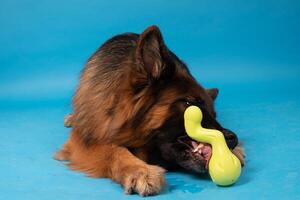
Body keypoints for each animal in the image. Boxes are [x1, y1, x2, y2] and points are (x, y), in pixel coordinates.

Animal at [54, 25, 244, 196]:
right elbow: (113, 150)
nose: (233, 139)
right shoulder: (83, 140)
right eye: (190, 103)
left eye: (214, 114)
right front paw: (140, 171)